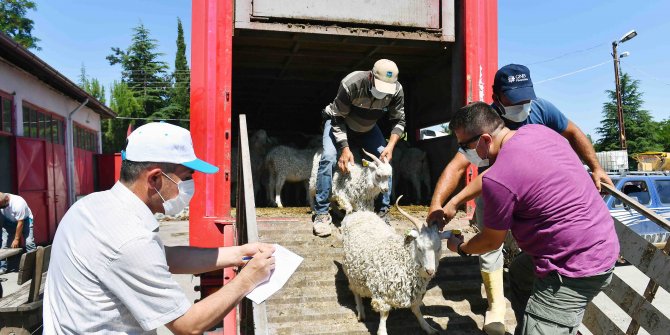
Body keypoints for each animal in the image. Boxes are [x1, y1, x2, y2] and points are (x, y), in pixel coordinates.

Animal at [344, 197, 444, 335]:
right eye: (419, 248)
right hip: (351, 269)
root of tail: (360, 213)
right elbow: (384, 313)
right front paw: (382, 331)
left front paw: (428, 327)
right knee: (355, 290)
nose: (430, 271)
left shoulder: (413, 293)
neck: (401, 257)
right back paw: (360, 312)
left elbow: (417, 310)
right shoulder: (382, 290)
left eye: (438, 248)